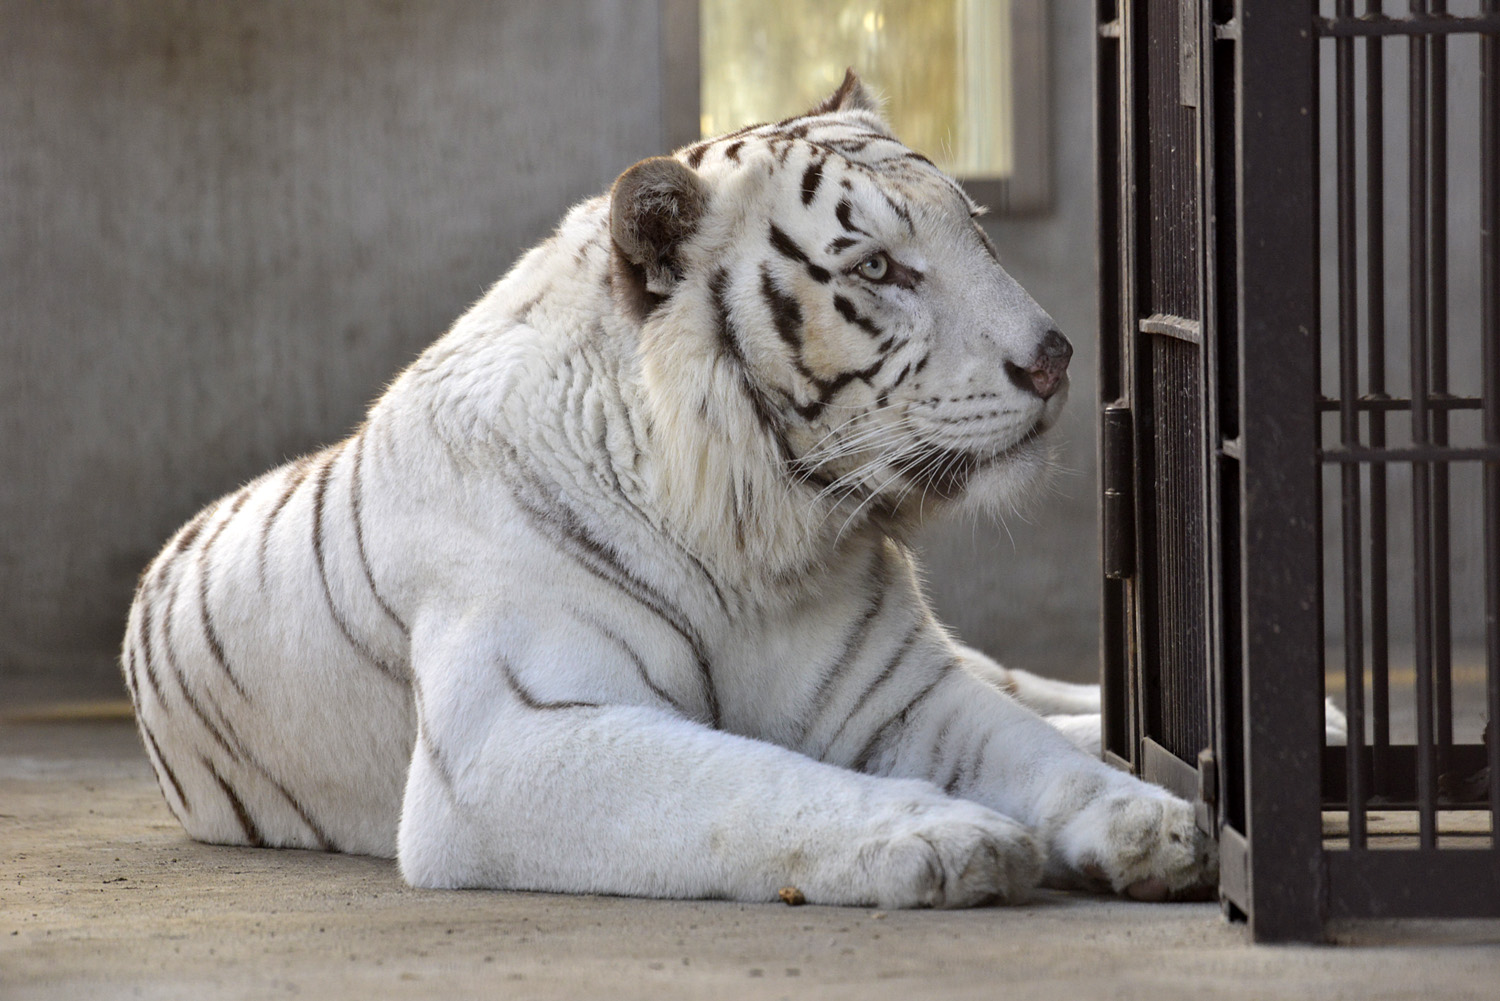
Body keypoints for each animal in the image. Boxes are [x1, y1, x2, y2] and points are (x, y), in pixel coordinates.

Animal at [120, 72, 1218, 906]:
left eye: (977, 230)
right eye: (878, 268)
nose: (1056, 358)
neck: (761, 535)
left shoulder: (899, 688)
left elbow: (1031, 751)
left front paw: (1153, 819)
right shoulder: (516, 737)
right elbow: (753, 778)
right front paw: (949, 835)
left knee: (1039, 697)